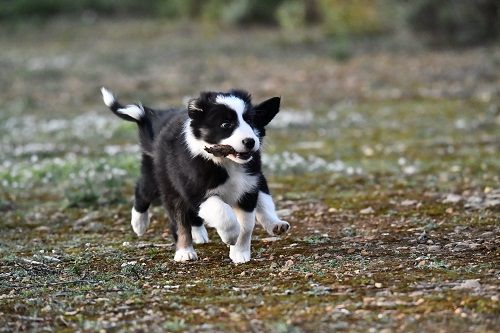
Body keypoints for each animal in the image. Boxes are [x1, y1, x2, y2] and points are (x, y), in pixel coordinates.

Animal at [100, 87, 290, 262]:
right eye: (225, 125)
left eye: (251, 122)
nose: (250, 142)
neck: (225, 162)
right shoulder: (195, 189)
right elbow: (221, 211)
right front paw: (230, 236)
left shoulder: (247, 189)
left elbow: (247, 224)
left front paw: (239, 254)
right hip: (161, 180)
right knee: (149, 196)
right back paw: (151, 231)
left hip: (257, 179)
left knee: (263, 198)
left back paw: (275, 224)